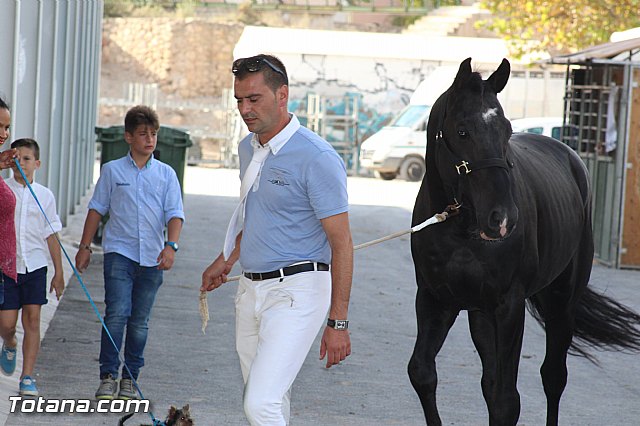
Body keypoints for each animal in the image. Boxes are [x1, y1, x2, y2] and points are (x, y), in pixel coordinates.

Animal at [408, 57, 640, 426]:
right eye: (462, 131)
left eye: (506, 129)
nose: (502, 218)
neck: (462, 233)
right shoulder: (435, 300)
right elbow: (423, 373)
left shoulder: (509, 306)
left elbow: (507, 401)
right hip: (481, 314)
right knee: (490, 383)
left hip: (561, 302)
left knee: (553, 377)